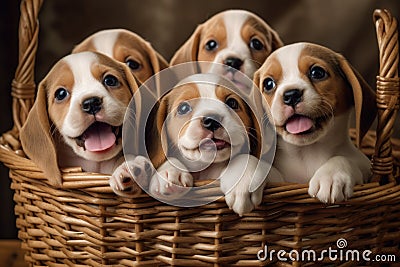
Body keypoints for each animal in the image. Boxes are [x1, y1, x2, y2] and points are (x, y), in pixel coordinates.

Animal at [255, 43, 376, 204]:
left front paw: (332, 176)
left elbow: (341, 158)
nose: (291, 95)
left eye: (317, 73)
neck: (308, 152)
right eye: (268, 84)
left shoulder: (366, 168)